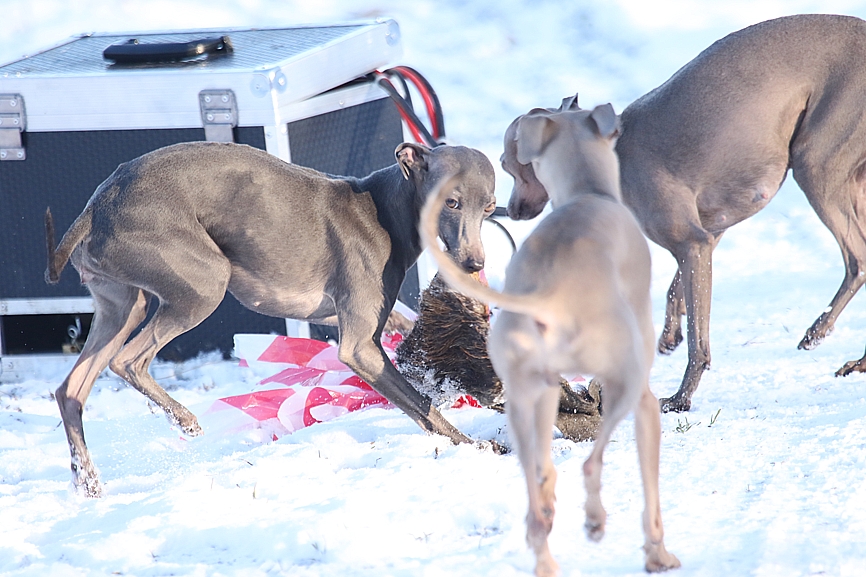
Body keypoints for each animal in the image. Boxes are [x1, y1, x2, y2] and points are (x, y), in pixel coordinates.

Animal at [45, 140, 492, 496]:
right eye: (451, 202)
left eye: (488, 207)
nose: (474, 264)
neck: (384, 210)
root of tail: (97, 207)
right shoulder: (359, 347)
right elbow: (421, 405)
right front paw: (477, 446)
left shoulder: (341, 318)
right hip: (205, 282)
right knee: (128, 360)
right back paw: (186, 421)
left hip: (121, 305)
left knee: (70, 389)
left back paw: (87, 481)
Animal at [422, 106, 680, 572]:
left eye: (509, 161)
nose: (511, 208)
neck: (590, 192)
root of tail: (547, 297)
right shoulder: (646, 405)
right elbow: (650, 497)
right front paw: (658, 553)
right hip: (624, 384)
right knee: (592, 463)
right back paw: (596, 521)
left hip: (528, 402)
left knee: (539, 489)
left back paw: (546, 554)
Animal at [506, 12, 866, 410]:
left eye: (508, 166)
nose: (512, 209)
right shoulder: (711, 231)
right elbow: (676, 289)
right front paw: (670, 334)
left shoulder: (693, 242)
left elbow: (699, 338)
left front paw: (681, 397)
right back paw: (858, 362)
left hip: (815, 164)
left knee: (858, 260)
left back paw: (818, 331)